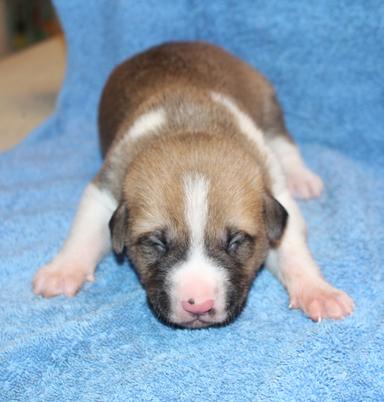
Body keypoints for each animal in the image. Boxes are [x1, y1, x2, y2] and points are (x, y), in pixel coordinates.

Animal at [33, 42, 354, 328]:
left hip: (268, 108)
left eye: (236, 241)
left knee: (284, 144)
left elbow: (293, 252)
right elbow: (84, 232)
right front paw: (63, 270)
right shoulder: (107, 186)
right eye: (157, 243)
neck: (190, 126)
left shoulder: (275, 192)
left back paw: (302, 178)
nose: (198, 304)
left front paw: (318, 291)